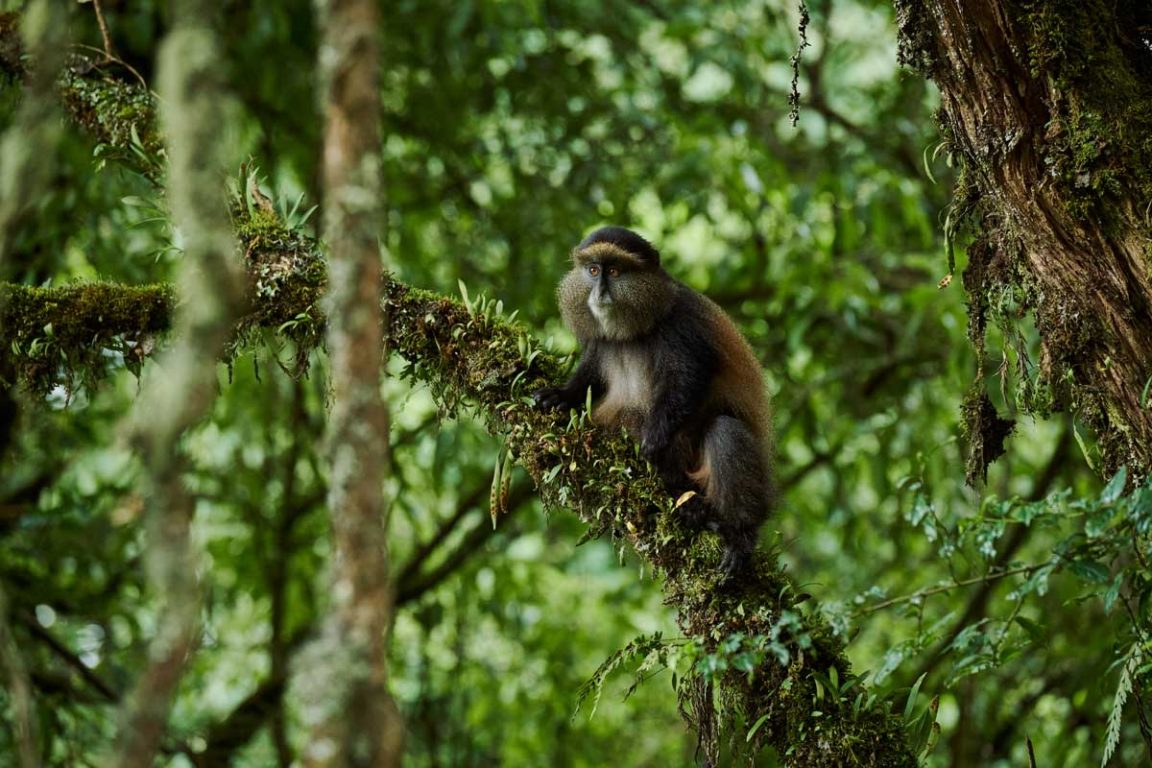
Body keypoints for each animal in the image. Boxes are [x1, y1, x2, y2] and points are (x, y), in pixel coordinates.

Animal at [533, 226, 773, 578]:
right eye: (593, 270)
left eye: (615, 272)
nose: (599, 292)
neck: (631, 331)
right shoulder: (599, 342)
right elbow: (591, 374)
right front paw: (562, 396)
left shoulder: (681, 326)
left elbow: (687, 379)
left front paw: (655, 436)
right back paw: (691, 507)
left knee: (725, 431)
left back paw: (739, 535)